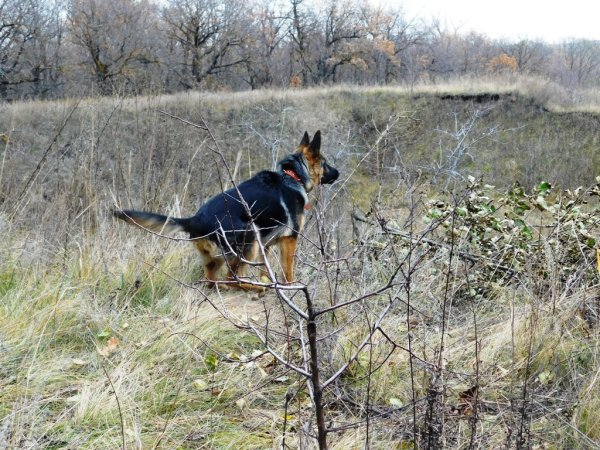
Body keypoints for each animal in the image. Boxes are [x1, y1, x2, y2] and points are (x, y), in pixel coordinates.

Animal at [113, 130, 338, 292]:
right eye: (325, 163)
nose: (338, 173)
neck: (292, 176)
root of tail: (194, 220)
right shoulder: (289, 240)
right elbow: (288, 271)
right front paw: (289, 287)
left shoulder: (266, 246)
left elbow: (265, 268)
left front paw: (270, 280)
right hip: (250, 239)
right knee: (233, 280)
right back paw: (256, 287)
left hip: (220, 257)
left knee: (212, 281)